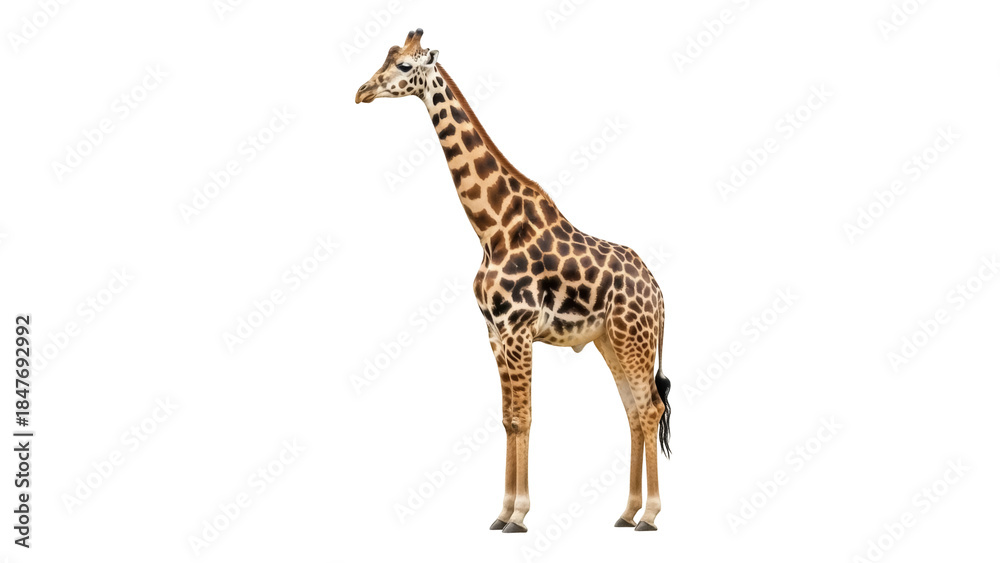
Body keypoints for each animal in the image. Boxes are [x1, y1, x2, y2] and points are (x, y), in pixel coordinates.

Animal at [356, 29, 671, 532]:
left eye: (405, 66)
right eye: (385, 59)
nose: (362, 91)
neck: (492, 227)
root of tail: (659, 292)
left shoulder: (519, 329)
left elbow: (524, 417)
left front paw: (519, 515)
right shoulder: (494, 331)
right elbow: (508, 419)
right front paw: (502, 512)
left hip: (632, 338)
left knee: (650, 408)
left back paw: (651, 515)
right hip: (610, 339)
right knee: (633, 411)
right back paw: (627, 513)